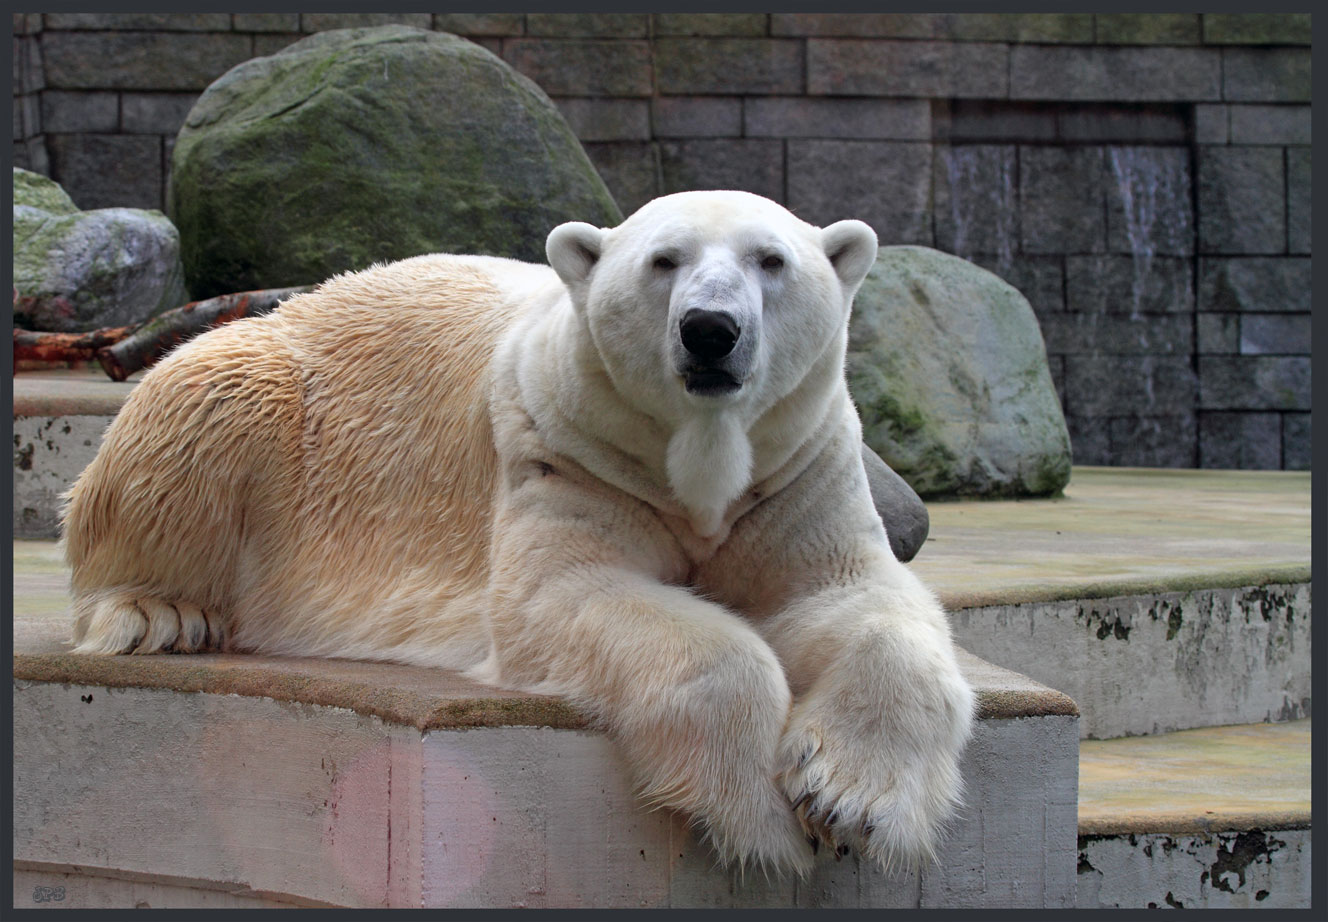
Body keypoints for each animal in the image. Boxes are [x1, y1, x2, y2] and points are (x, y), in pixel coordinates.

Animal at [62, 191, 977, 876]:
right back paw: (161, 613)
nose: (711, 329)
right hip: (270, 395)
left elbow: (852, 596)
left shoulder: (797, 466)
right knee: (201, 403)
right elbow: (568, 594)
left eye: (771, 260)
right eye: (664, 260)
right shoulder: (566, 449)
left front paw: (849, 799)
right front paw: (759, 815)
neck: (699, 459)